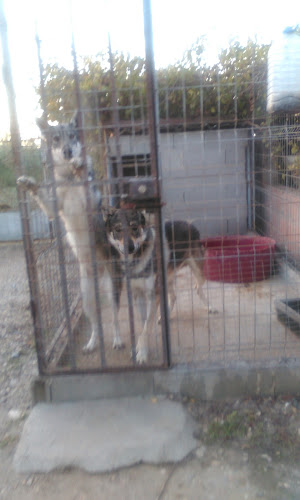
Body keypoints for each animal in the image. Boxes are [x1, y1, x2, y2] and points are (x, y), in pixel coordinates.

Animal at [103, 207, 213, 364]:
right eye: (118, 229)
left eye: (134, 227)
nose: (130, 248)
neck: (136, 262)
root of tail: (189, 222)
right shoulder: (138, 295)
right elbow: (144, 325)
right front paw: (139, 348)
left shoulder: (152, 295)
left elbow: (146, 327)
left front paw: (142, 353)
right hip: (166, 280)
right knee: (174, 296)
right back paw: (164, 316)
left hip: (199, 273)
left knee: (197, 287)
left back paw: (209, 307)